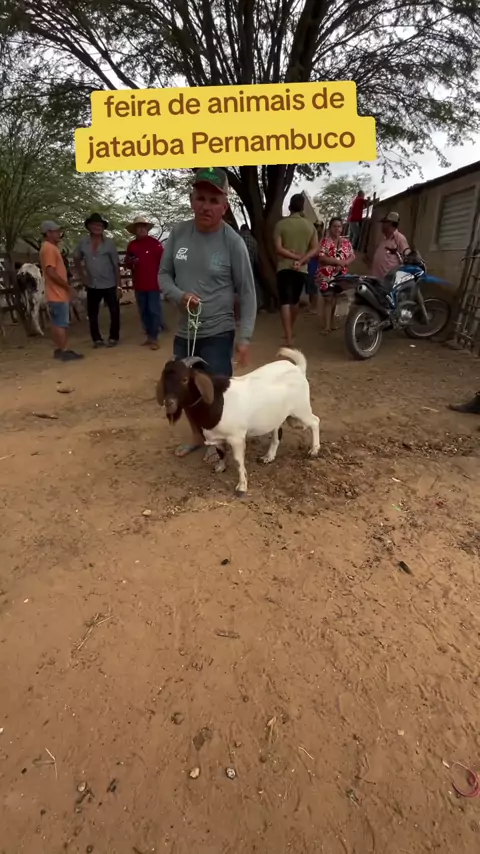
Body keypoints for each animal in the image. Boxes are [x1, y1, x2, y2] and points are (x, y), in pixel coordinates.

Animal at [157, 348, 320, 496]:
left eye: (185, 379)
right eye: (164, 380)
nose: (168, 403)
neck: (217, 401)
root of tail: (298, 368)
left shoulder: (236, 438)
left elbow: (238, 461)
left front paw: (242, 487)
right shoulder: (217, 437)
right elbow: (221, 452)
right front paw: (220, 467)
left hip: (301, 410)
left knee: (315, 421)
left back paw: (314, 450)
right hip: (277, 414)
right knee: (277, 432)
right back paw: (268, 457)